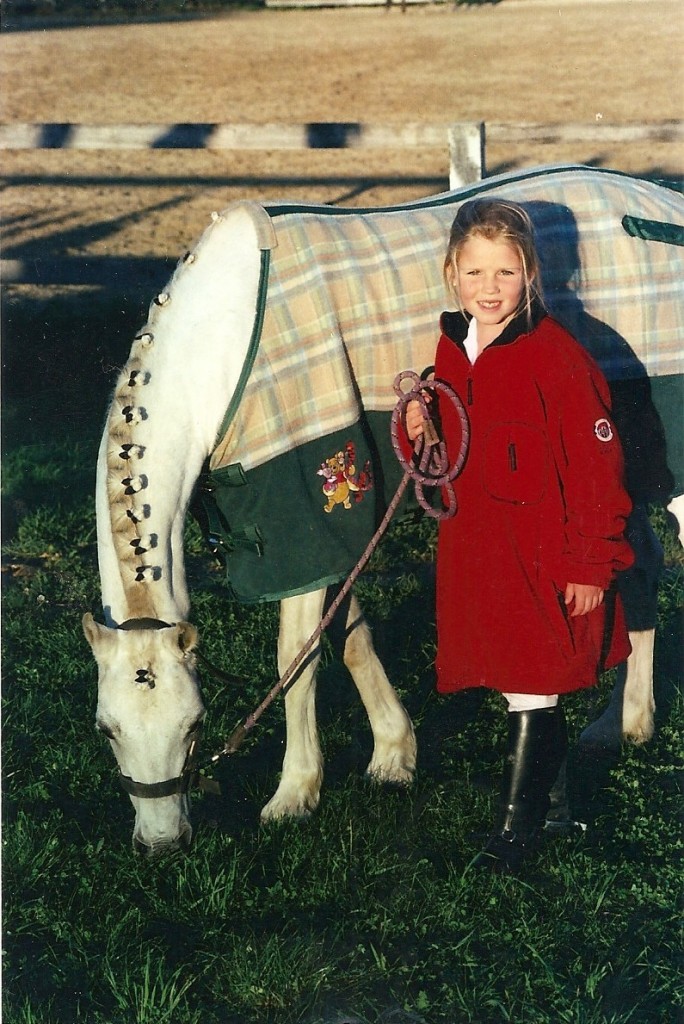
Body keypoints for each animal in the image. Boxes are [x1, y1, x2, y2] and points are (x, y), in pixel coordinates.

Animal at [85, 167, 684, 856]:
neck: (223, 346)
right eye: (106, 729)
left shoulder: (306, 510)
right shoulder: (330, 532)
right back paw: (621, 725)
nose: (161, 842)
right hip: (618, 468)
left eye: (194, 725)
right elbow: (349, 637)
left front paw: (295, 794)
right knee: (632, 566)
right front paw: (395, 756)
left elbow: (297, 657)